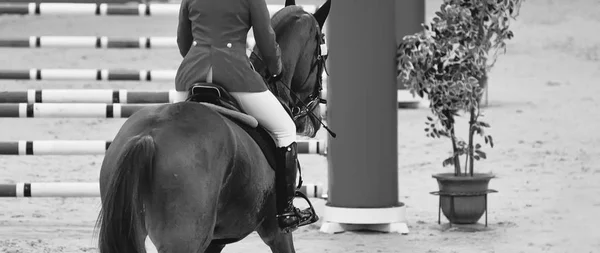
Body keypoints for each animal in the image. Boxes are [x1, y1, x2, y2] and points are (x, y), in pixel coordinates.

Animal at [92, 0, 332, 252]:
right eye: (322, 54)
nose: (312, 121)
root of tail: (148, 136)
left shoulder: (216, 240)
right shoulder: (276, 232)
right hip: (184, 238)